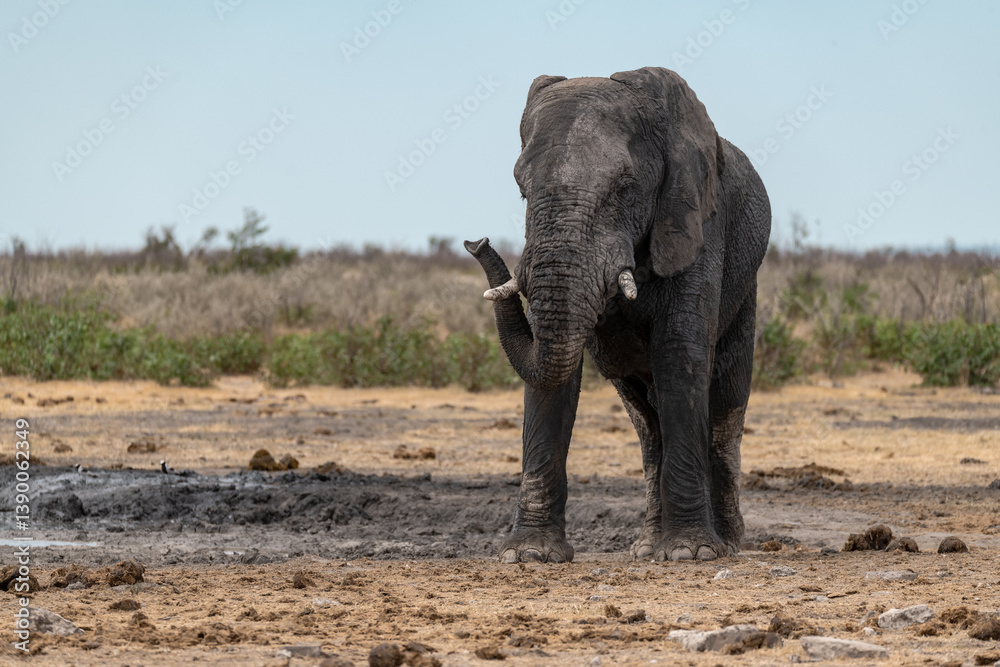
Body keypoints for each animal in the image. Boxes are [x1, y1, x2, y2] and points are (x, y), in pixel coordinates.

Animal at [464, 67, 771, 563]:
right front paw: (529, 555)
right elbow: (553, 369)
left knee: (724, 405)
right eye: (521, 190)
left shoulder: (697, 223)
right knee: (647, 423)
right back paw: (646, 547)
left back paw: (726, 543)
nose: (477, 243)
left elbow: (679, 356)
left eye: (625, 187)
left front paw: (690, 553)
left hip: (746, 291)